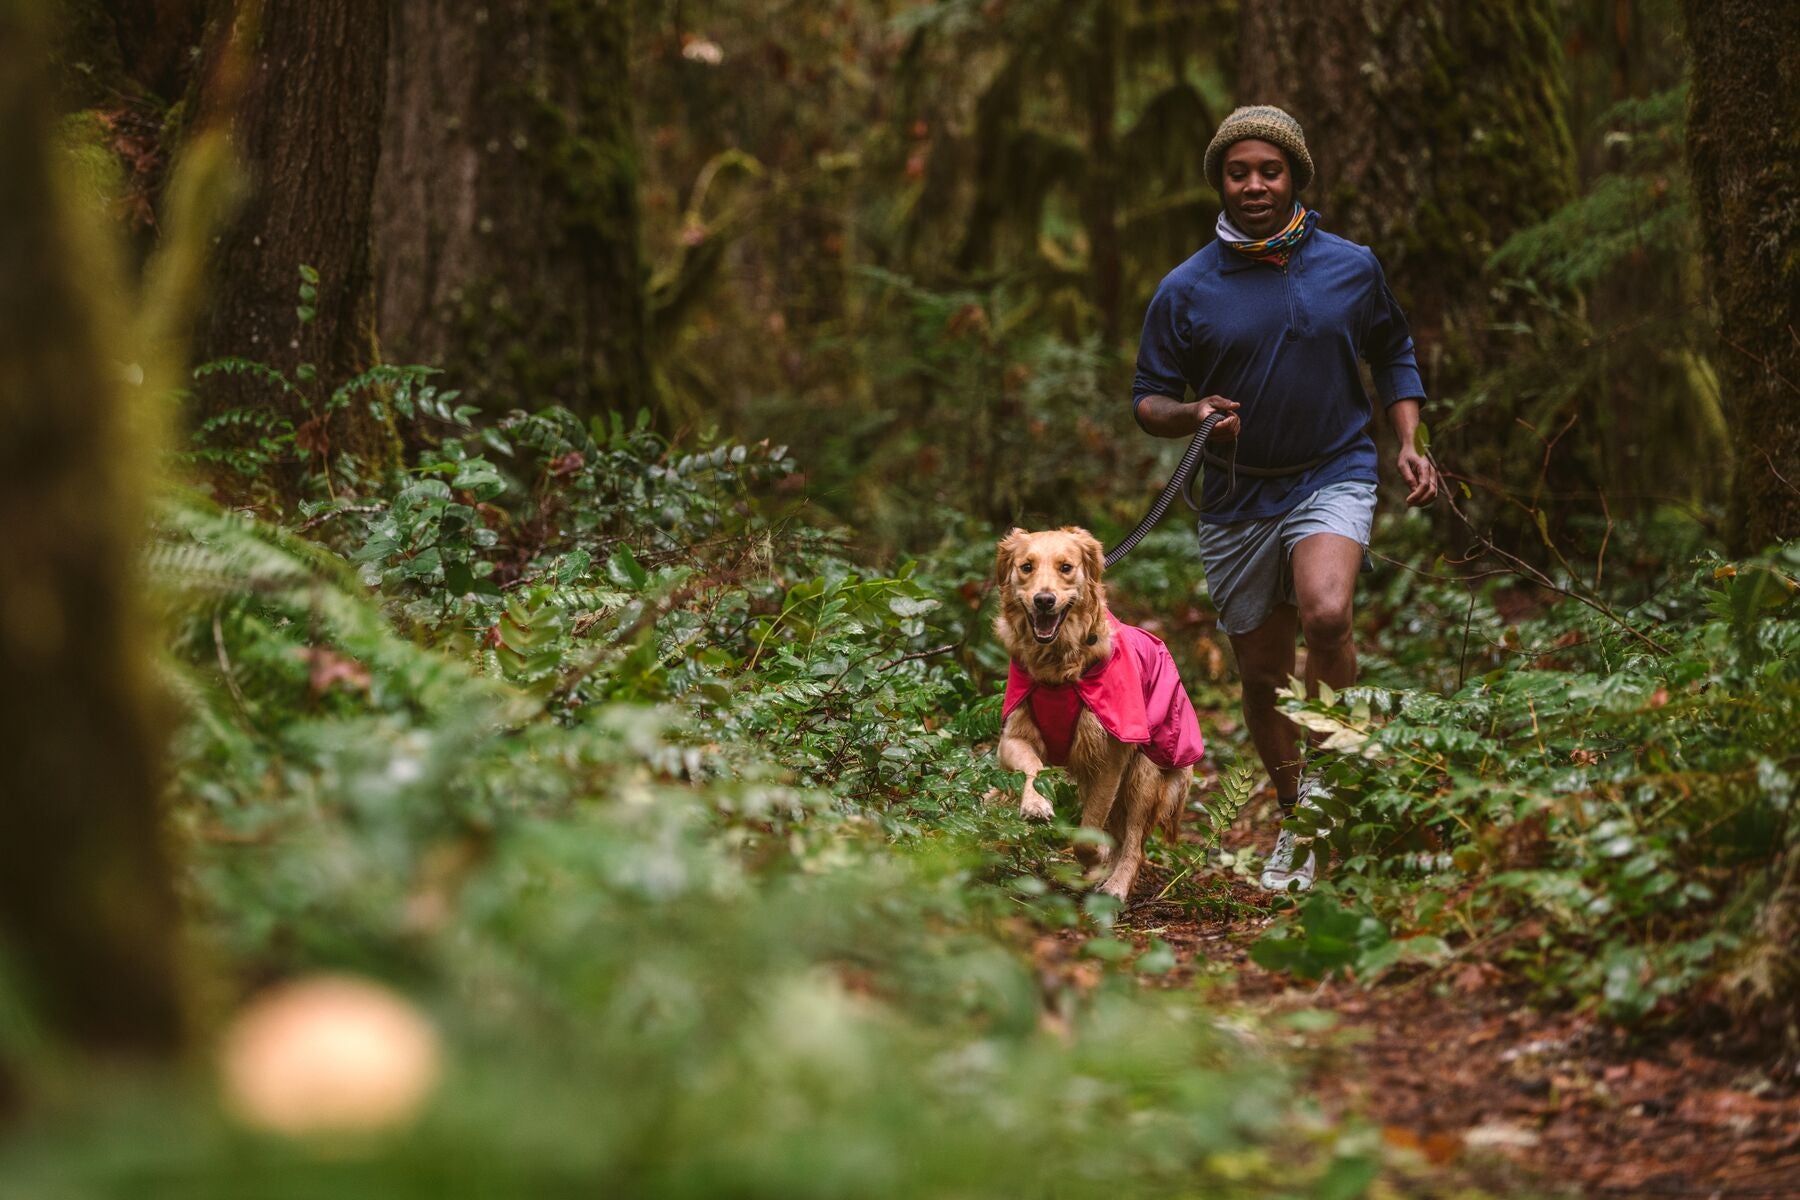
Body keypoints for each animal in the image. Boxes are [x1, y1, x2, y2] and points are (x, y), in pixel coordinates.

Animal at [993, 525, 1202, 899]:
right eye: (1026, 567)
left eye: (1066, 567)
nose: (1043, 600)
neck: (1059, 672)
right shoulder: (1013, 737)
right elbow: (1032, 767)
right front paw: (1034, 804)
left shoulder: (1110, 757)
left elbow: (1089, 833)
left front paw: (1095, 860)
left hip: (1146, 773)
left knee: (1134, 842)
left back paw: (1116, 885)